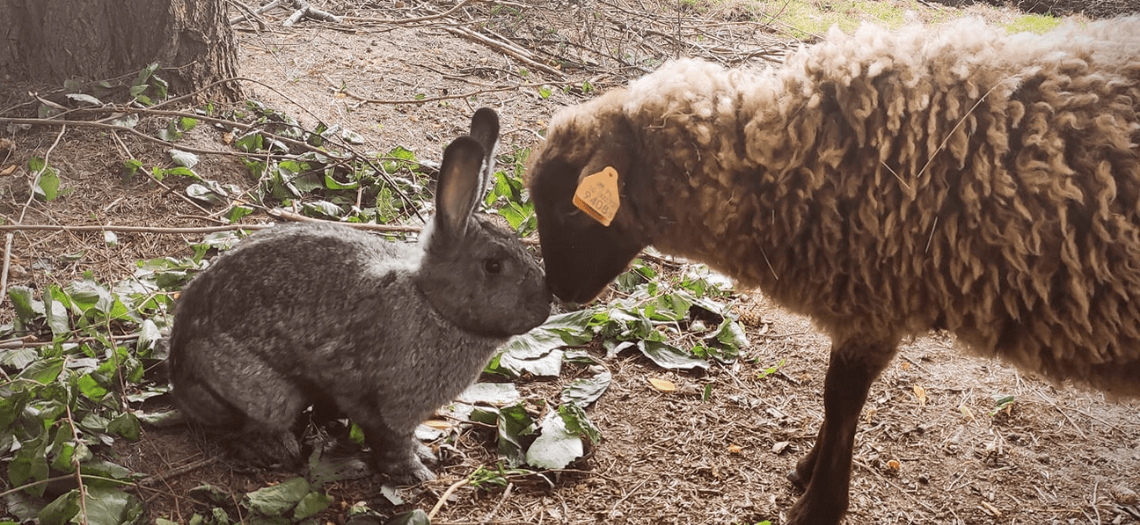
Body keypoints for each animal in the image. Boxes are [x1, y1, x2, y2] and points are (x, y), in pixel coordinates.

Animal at [167, 107, 551, 482]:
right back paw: (279, 450)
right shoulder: (383, 403)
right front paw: (415, 472)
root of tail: (179, 376)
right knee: (241, 426)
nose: (545, 306)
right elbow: (390, 439)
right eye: (493, 266)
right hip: (265, 392)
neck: (431, 303)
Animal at [524, 16, 1140, 523]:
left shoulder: (874, 301)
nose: (558, 292)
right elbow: (837, 401)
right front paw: (807, 472)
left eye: (569, 209)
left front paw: (819, 503)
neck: (790, 157)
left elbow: (840, 401)